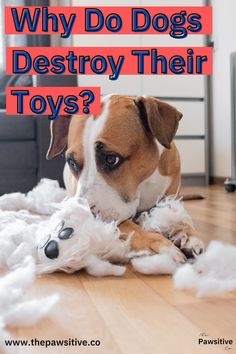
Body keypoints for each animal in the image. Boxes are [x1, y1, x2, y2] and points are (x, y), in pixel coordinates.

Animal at [47, 94, 204, 266]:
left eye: (111, 159)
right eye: (72, 162)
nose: (82, 215)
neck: (143, 185)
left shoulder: (170, 199)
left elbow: (179, 216)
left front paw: (187, 234)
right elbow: (132, 229)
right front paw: (160, 245)